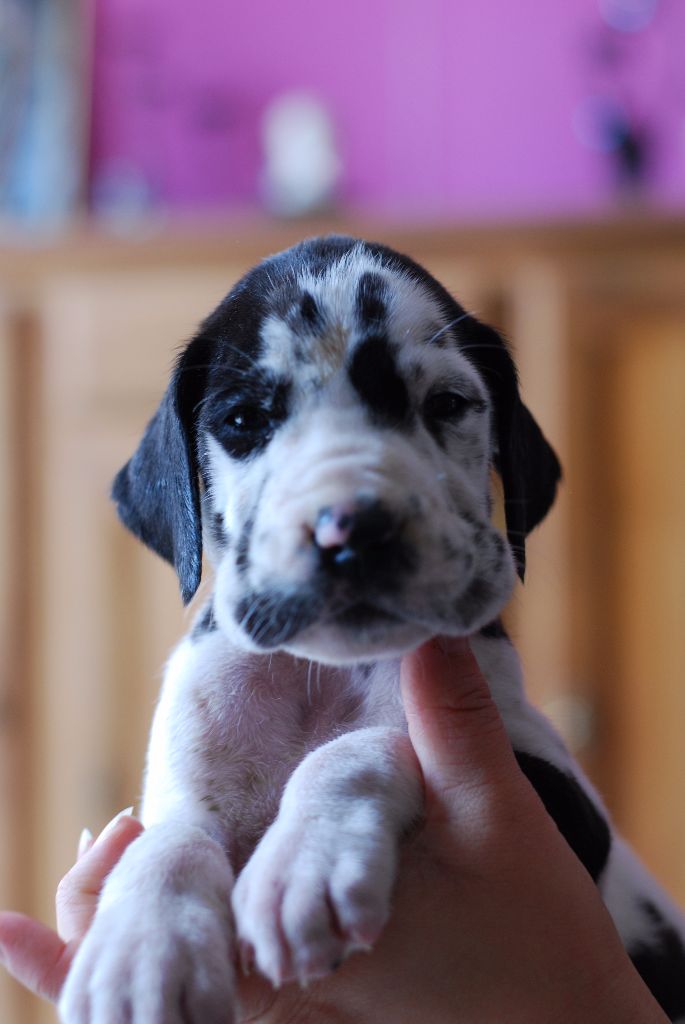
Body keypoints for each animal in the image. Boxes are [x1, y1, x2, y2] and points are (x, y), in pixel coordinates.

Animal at [59, 236, 685, 1022]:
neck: (323, 676)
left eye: (445, 404)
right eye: (243, 422)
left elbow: (369, 743)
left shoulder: (564, 804)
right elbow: (169, 839)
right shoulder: (188, 787)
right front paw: (142, 945)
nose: (350, 527)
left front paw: (307, 860)